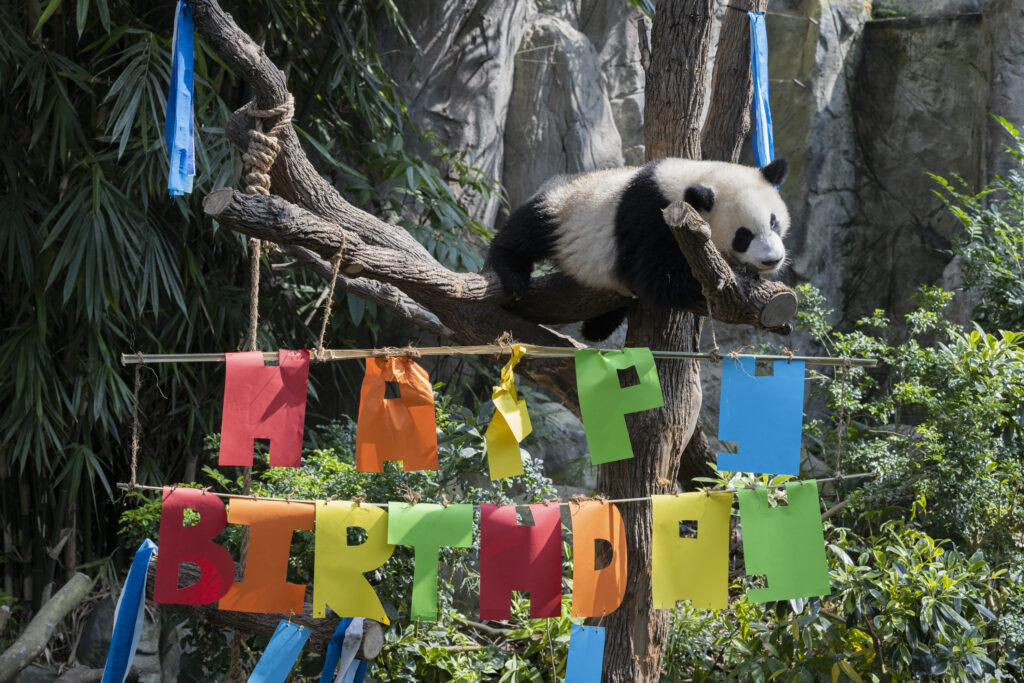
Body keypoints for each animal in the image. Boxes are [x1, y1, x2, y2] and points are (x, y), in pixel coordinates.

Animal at [487, 158, 790, 342]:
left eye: (774, 222)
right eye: (744, 235)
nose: (772, 260)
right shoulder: (653, 218)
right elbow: (658, 276)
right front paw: (722, 279)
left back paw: (597, 328)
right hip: (561, 207)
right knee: (527, 230)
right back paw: (513, 274)